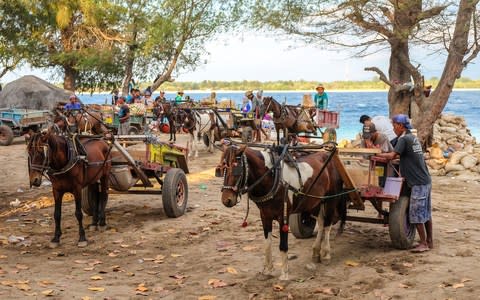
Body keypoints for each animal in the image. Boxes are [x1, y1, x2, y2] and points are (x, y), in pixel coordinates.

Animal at [217, 142, 344, 280]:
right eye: (221, 169)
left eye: (237, 169)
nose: (226, 200)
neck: (273, 177)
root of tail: (327, 156)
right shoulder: (265, 215)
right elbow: (267, 243)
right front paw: (268, 270)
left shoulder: (283, 216)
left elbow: (283, 245)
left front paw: (284, 274)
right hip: (316, 201)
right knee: (321, 222)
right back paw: (316, 252)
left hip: (330, 199)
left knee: (327, 225)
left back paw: (326, 254)